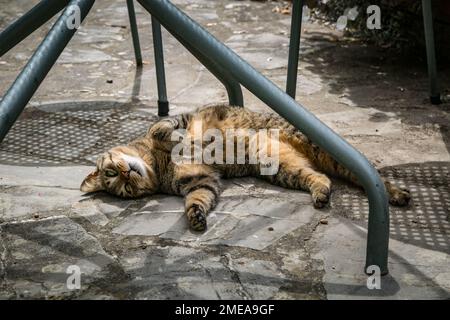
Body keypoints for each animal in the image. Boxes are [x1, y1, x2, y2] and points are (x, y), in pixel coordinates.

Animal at [81, 106, 412, 231]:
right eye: (124, 188)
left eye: (111, 173)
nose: (126, 174)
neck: (157, 164)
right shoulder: (202, 181)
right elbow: (198, 200)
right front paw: (195, 217)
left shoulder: (184, 119)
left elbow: (164, 126)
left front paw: (171, 135)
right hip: (279, 167)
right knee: (319, 177)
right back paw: (321, 194)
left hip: (322, 148)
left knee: (366, 174)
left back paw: (397, 193)